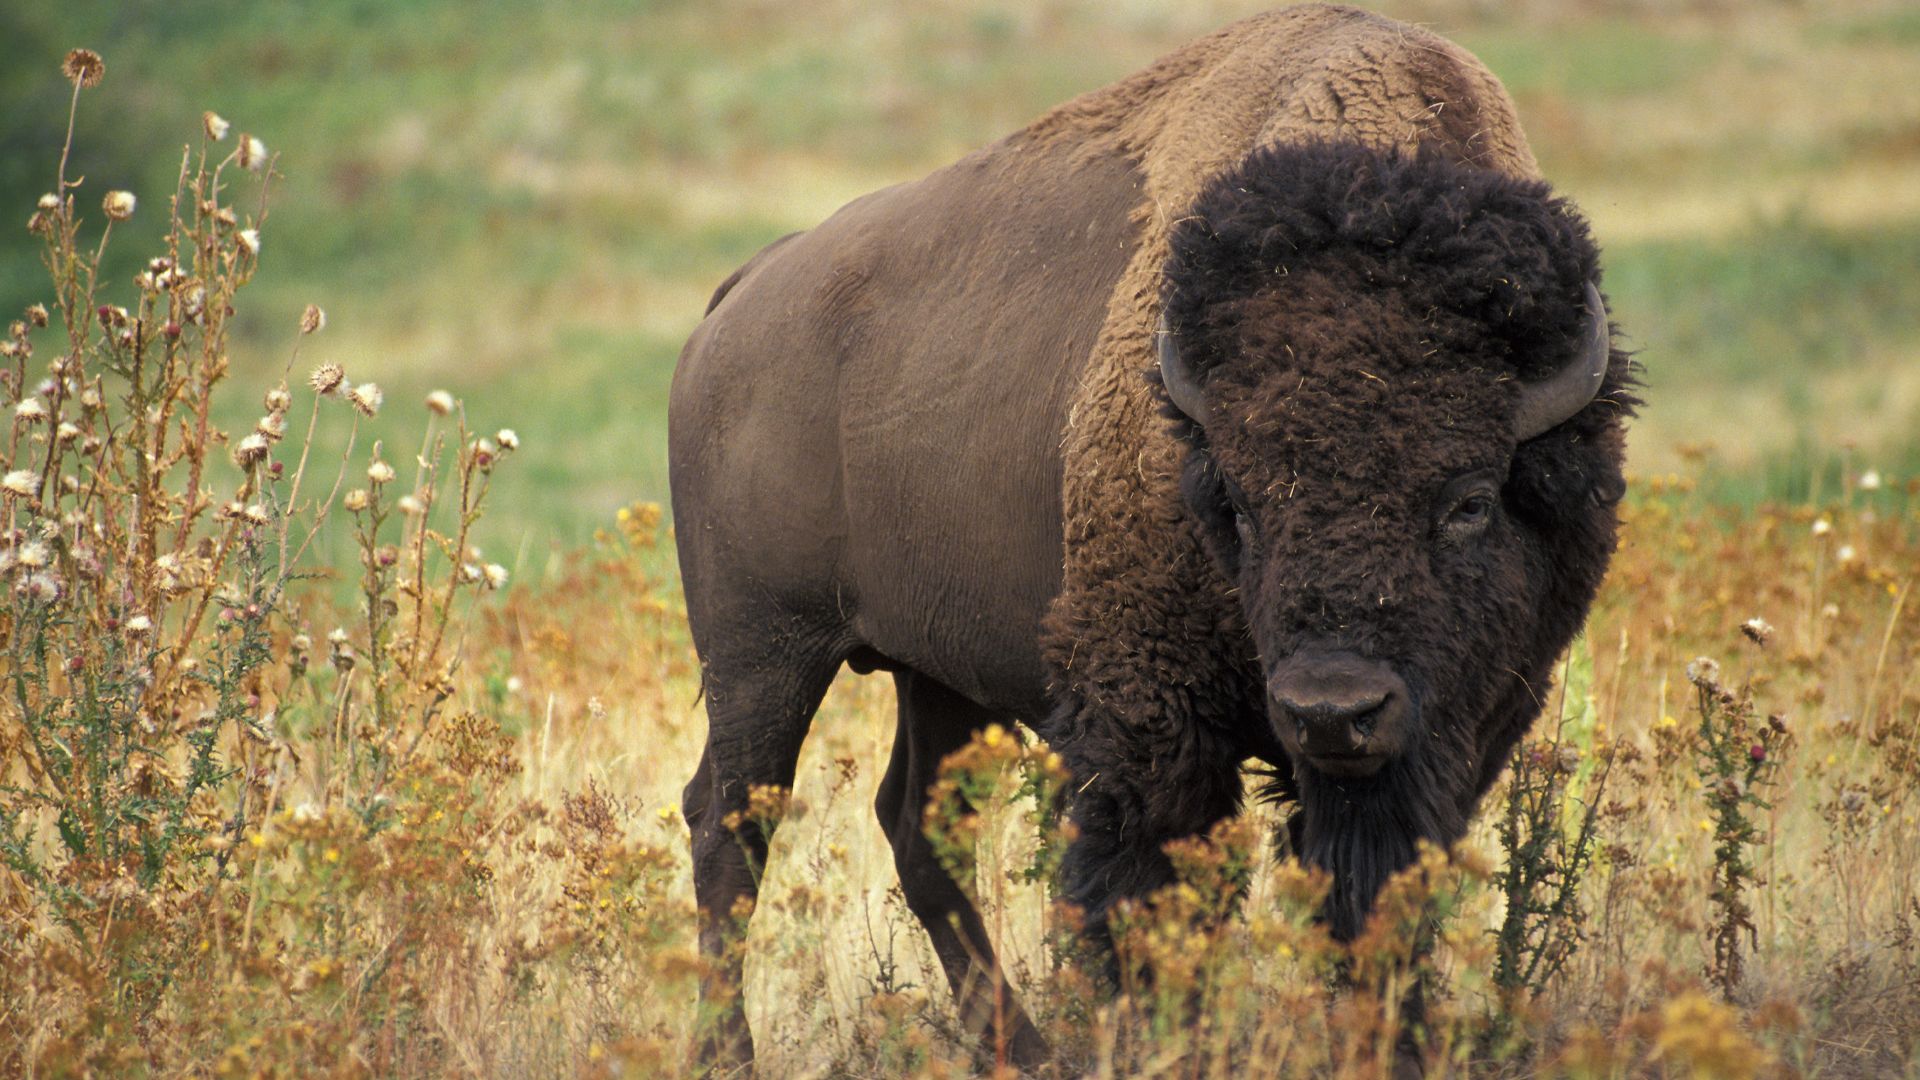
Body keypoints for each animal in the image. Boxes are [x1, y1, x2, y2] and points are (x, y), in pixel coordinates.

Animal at [669, 3, 1632, 1068]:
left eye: (1468, 500)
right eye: (1239, 504)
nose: (1332, 709)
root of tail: (742, 296)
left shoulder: (1455, 732)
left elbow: (1377, 897)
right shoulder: (1149, 717)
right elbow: (1148, 896)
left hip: (934, 670)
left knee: (914, 823)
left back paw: (1023, 1050)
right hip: (763, 653)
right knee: (730, 825)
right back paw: (729, 1053)